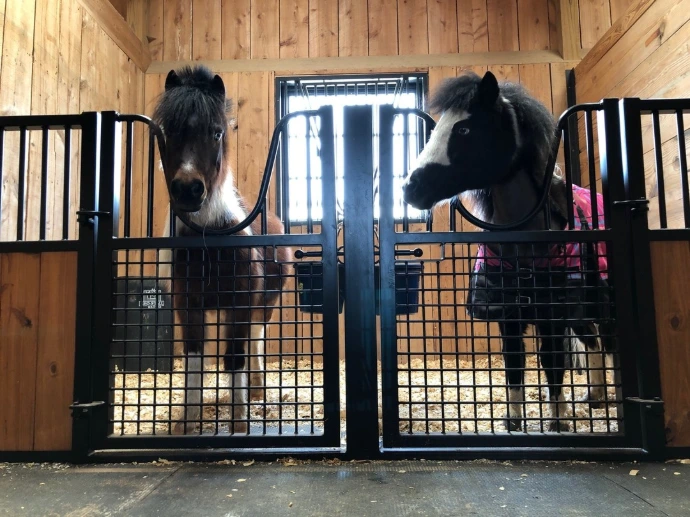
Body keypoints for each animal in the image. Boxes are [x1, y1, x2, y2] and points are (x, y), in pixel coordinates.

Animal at [153, 65, 290, 435]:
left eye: (216, 132)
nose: (188, 190)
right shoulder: (188, 305)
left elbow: (234, 358)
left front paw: (239, 422)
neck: (210, 237)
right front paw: (188, 422)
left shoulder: (241, 302)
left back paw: (256, 391)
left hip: (264, 304)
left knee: (254, 341)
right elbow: (195, 361)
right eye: (168, 132)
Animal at [402, 71, 614, 432]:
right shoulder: (507, 313)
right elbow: (514, 361)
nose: (409, 188)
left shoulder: (551, 312)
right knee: (592, 340)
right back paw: (594, 396)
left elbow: (551, 361)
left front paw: (558, 419)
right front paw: (514, 420)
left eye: (464, 129)